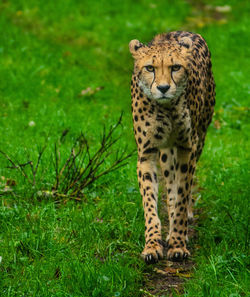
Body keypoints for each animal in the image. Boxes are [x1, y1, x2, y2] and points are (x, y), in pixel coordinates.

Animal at [129, 30, 215, 262]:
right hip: (167, 152)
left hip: (200, 136)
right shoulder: (146, 153)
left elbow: (183, 194)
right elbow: (150, 202)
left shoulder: (188, 148)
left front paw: (177, 243)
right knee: (170, 183)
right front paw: (152, 245)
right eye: (150, 68)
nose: (163, 88)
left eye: (175, 67)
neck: (166, 108)